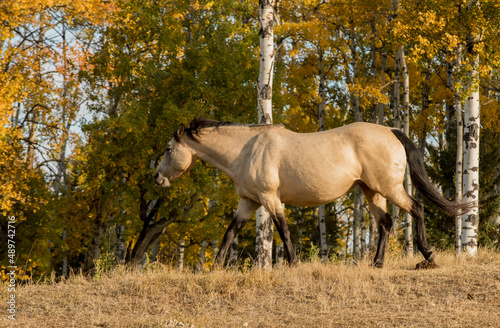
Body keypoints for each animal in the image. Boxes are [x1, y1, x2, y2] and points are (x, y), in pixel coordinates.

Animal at [153, 119, 472, 268]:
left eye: (168, 149)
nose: (157, 178)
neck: (247, 150)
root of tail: (391, 130)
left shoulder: (270, 199)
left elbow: (283, 230)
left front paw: (293, 263)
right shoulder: (249, 202)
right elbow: (230, 232)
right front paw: (215, 266)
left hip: (390, 188)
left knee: (416, 208)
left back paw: (427, 255)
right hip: (371, 191)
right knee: (385, 223)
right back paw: (377, 262)